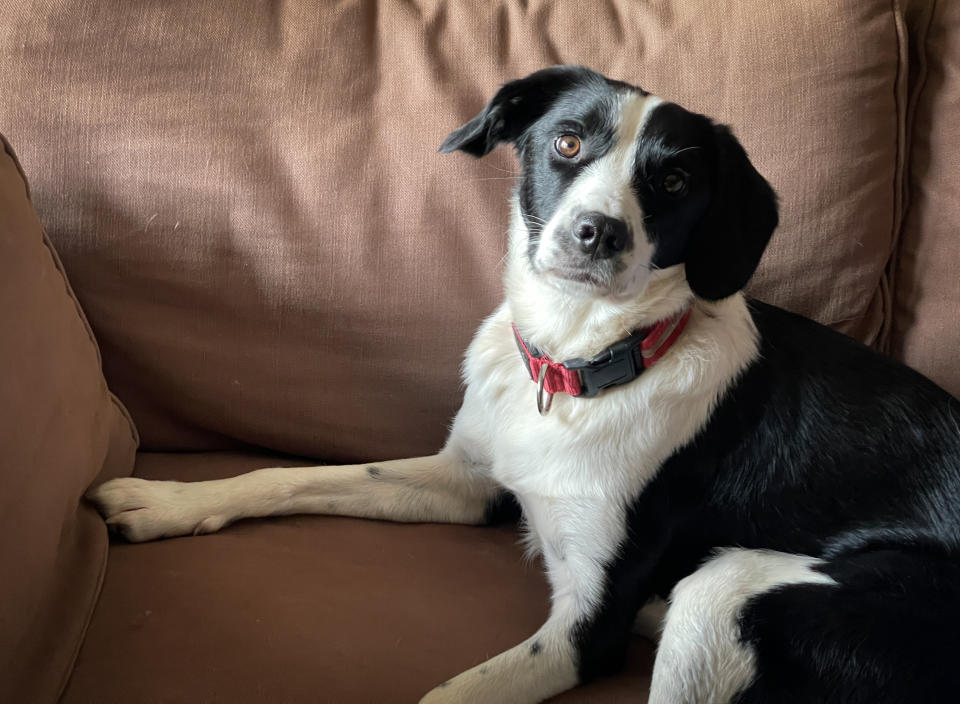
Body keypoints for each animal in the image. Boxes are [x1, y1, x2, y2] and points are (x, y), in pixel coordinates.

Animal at [90, 67, 960, 704]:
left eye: (676, 181)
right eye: (567, 141)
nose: (597, 233)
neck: (574, 368)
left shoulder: (584, 628)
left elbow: (449, 695)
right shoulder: (470, 479)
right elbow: (292, 477)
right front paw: (164, 500)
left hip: (726, 593)